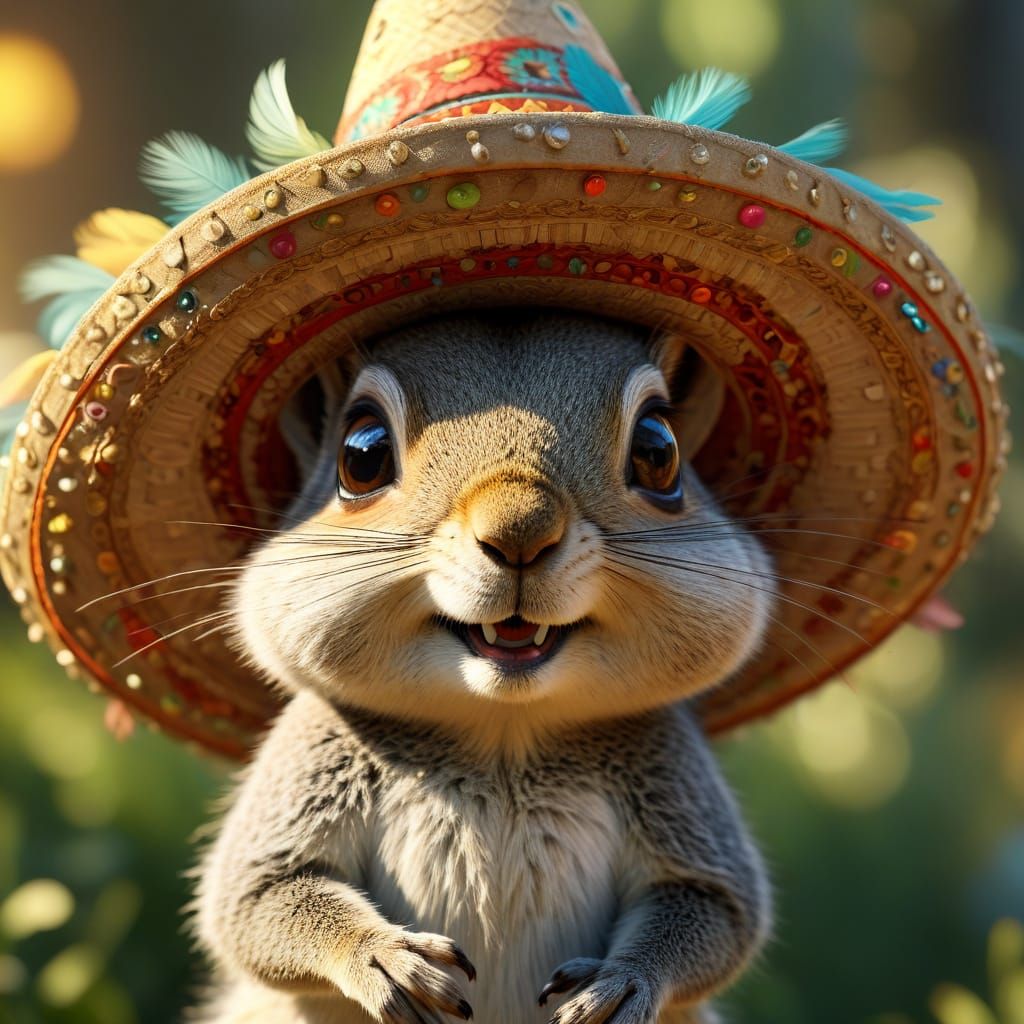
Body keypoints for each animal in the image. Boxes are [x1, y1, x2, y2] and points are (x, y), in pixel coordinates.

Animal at [189, 310, 775, 1024]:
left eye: (659, 449)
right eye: (362, 454)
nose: (519, 530)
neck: (501, 731)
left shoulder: (673, 778)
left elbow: (718, 910)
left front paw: (622, 981)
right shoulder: (310, 761)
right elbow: (255, 900)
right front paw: (383, 956)